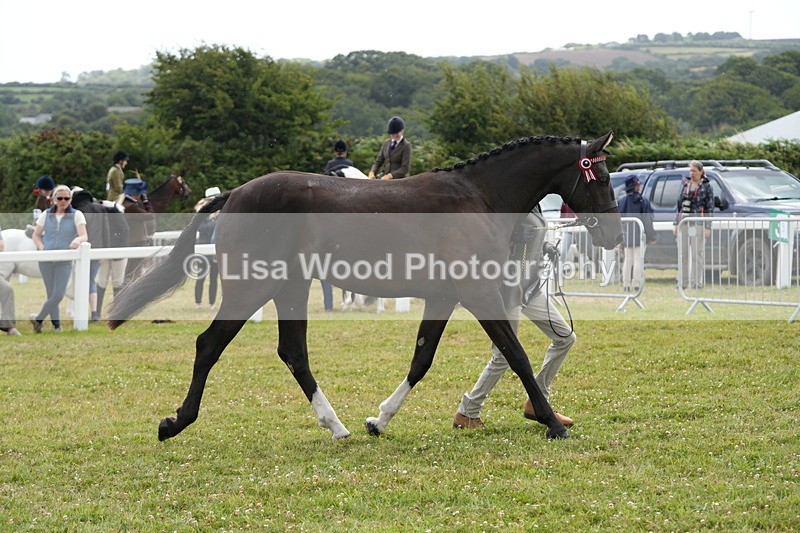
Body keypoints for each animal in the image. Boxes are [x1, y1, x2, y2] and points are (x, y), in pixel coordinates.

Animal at [108, 132, 623, 442]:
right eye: (598, 174)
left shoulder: (444, 296)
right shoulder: (477, 294)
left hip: (290, 287)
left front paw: (379, 419)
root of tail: (234, 194)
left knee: (292, 352)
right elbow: (515, 354)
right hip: (250, 289)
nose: (615, 236)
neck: (478, 197)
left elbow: (421, 359)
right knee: (209, 344)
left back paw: (337, 426)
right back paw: (176, 422)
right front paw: (553, 423)